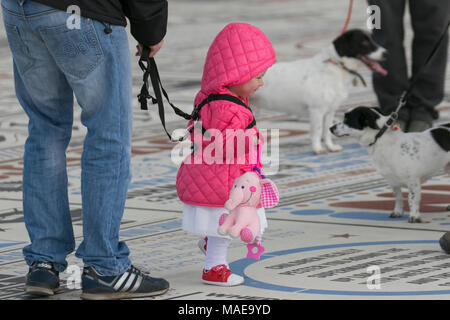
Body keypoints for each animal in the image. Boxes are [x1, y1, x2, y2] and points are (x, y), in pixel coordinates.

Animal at [253, 29, 386, 154]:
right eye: (364, 42)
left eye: (372, 39)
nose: (385, 53)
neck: (336, 66)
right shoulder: (316, 110)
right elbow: (317, 131)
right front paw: (318, 149)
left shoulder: (330, 110)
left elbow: (327, 130)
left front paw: (330, 147)